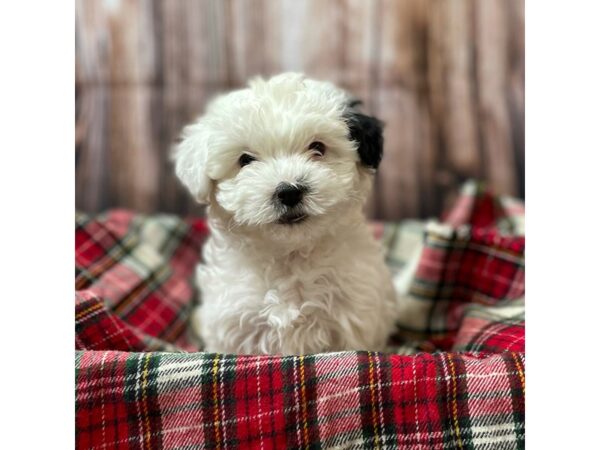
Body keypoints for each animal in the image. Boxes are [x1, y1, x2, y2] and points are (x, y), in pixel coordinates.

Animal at [173, 73, 398, 356]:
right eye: (245, 160)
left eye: (318, 147)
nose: (289, 192)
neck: (290, 255)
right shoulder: (232, 326)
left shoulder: (353, 319)